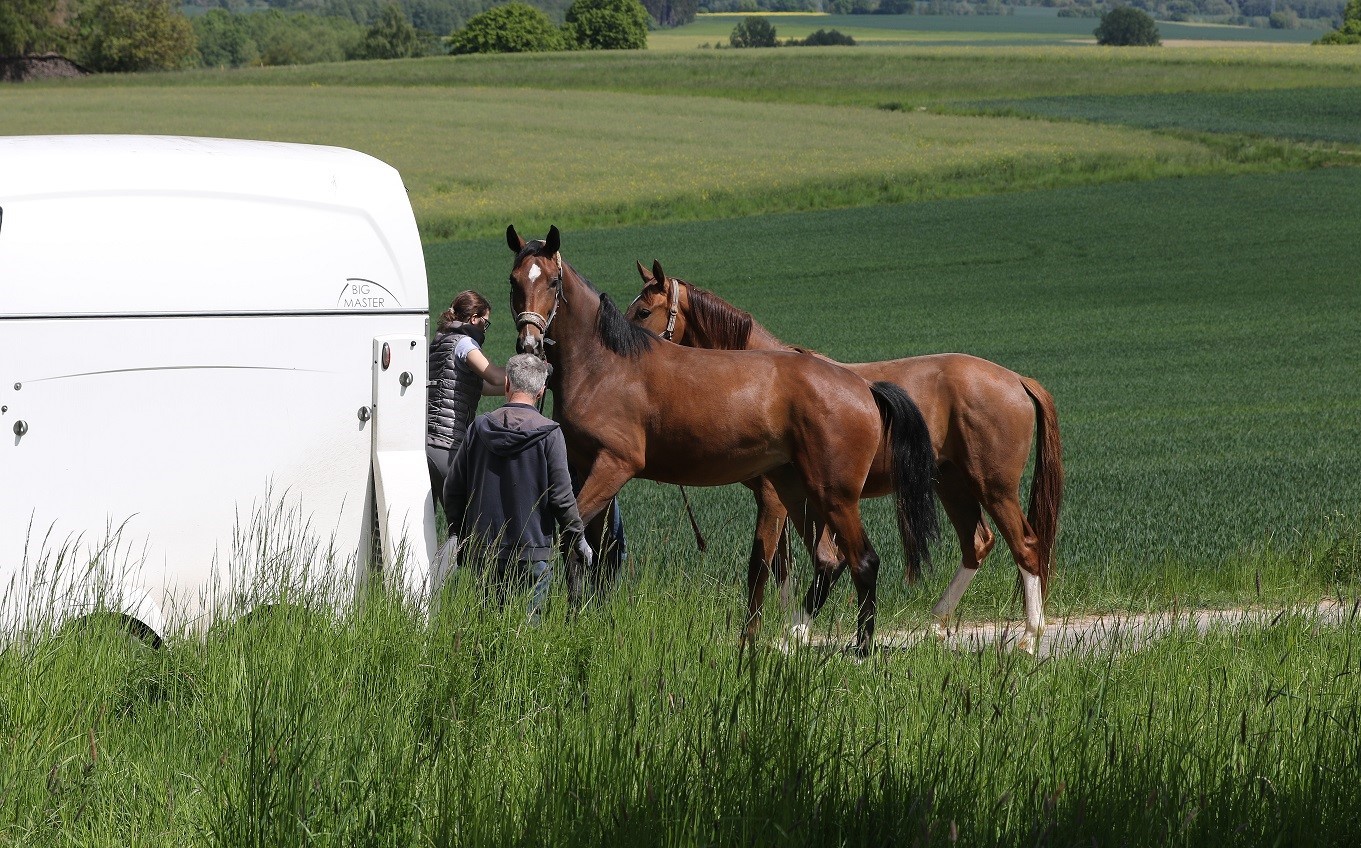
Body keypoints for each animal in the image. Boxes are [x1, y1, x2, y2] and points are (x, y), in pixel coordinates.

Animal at [506, 225, 940, 654]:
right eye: (513, 280)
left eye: (553, 280)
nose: (529, 343)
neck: (605, 366)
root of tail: (864, 387)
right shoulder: (583, 468)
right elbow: (585, 546)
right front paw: (582, 619)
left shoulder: (615, 466)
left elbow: (574, 539)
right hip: (800, 492)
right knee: (831, 559)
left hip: (835, 497)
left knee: (864, 561)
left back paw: (860, 650)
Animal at [626, 261, 1063, 653]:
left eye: (644, 311)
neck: (768, 381)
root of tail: (1016, 379)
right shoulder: (790, 499)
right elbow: (788, 568)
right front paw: (790, 633)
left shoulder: (774, 499)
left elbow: (766, 566)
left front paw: (777, 636)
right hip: (952, 484)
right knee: (978, 543)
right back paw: (936, 625)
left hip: (994, 487)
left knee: (1025, 545)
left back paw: (1029, 637)